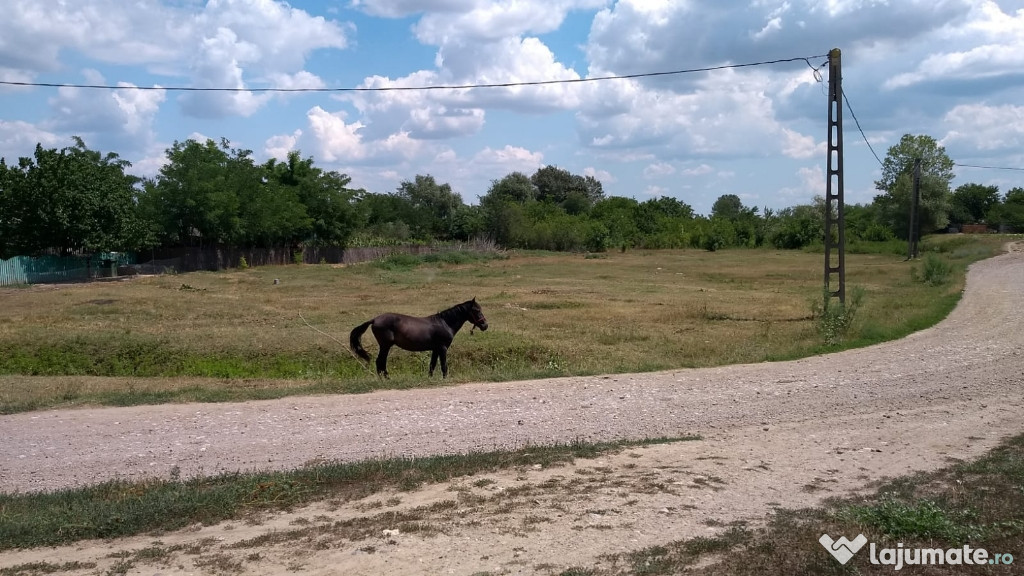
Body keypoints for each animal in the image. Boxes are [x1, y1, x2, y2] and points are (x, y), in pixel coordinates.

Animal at [350, 295, 489, 377]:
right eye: (476, 310)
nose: (485, 325)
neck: (444, 323)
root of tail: (374, 320)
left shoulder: (435, 349)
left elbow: (432, 365)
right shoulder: (443, 348)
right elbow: (444, 366)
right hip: (385, 346)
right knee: (380, 362)